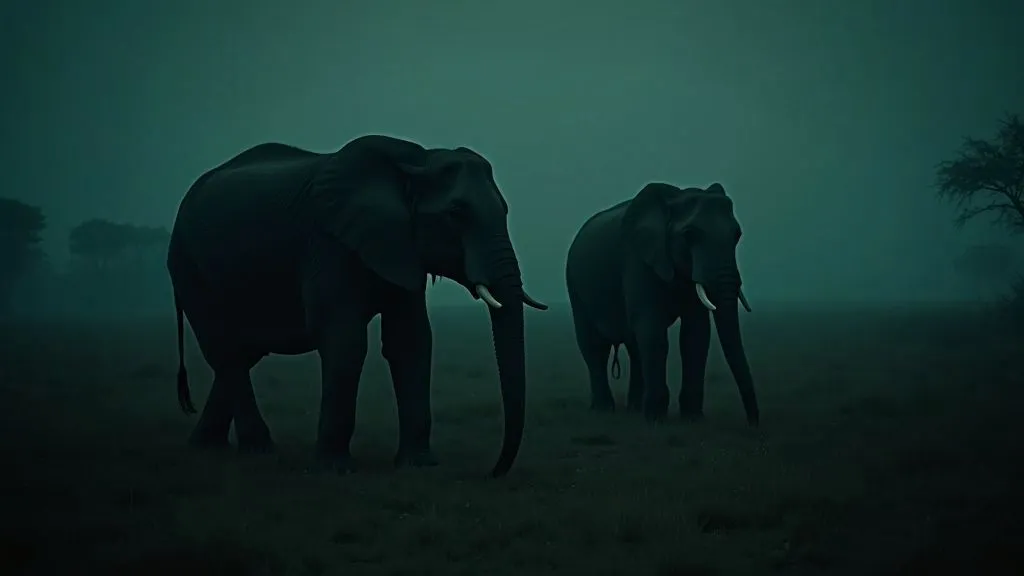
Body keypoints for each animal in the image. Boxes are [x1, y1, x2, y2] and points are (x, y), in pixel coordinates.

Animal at [167, 134, 547, 477]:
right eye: (456, 213)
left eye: (505, 210)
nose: (494, 471)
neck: (415, 162)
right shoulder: (328, 242)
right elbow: (345, 341)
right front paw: (335, 468)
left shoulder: (402, 249)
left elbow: (411, 340)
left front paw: (419, 465)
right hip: (189, 266)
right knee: (225, 349)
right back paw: (259, 450)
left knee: (243, 352)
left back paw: (207, 446)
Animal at [564, 182, 759, 424]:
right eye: (690, 235)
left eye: (737, 235)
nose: (753, 424)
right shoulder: (638, 259)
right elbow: (653, 330)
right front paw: (656, 419)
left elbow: (695, 333)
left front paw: (692, 418)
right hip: (575, 285)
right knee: (593, 345)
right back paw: (604, 410)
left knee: (634, 347)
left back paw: (634, 409)